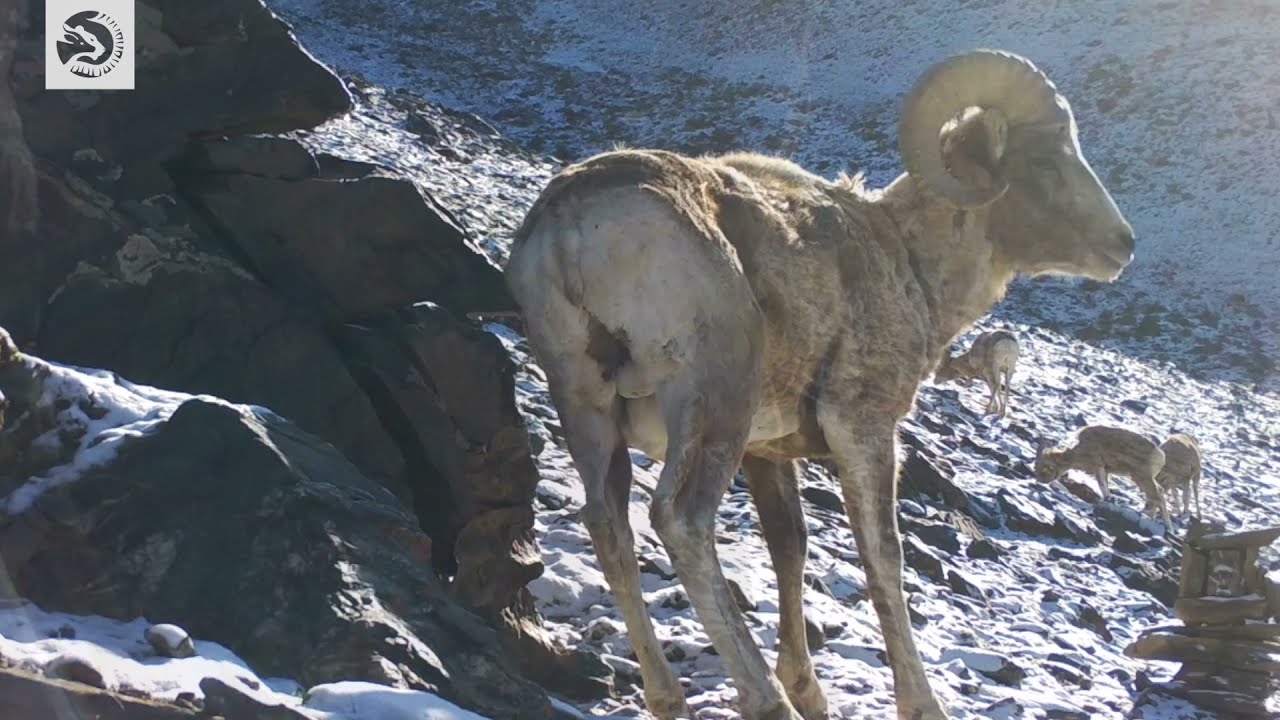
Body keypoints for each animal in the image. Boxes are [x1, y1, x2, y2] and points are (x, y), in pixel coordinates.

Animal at [505, 49, 1135, 720]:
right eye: (1045, 159)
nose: (1122, 245)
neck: (912, 269)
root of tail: (573, 226)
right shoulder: (863, 429)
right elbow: (884, 559)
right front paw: (917, 704)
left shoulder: (769, 453)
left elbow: (791, 545)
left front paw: (810, 689)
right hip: (713, 401)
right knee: (681, 520)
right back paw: (765, 699)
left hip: (586, 406)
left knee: (608, 524)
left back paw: (670, 697)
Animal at [1035, 425, 1171, 528]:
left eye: (1046, 467)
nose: (1041, 481)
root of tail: (1161, 456)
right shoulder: (1104, 471)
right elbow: (1105, 489)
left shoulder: (1098, 467)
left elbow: (1102, 486)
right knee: (1158, 493)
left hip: (1142, 478)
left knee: (1157, 496)